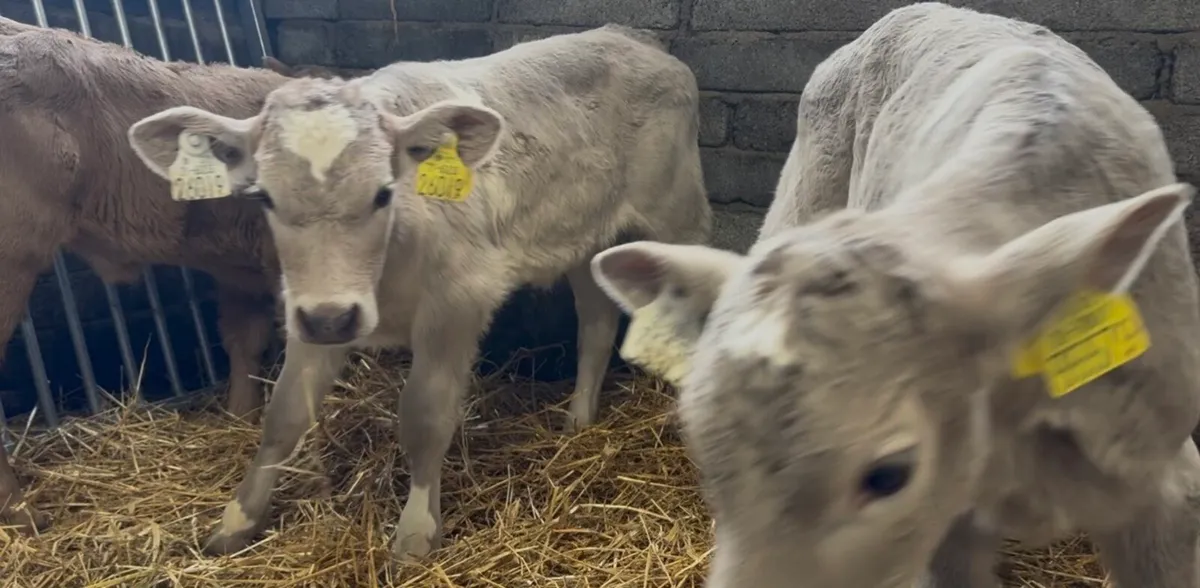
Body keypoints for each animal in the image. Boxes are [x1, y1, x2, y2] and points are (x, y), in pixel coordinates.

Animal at [127, 24, 712, 561]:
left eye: (384, 192)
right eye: (264, 197)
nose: (333, 321)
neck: (390, 260)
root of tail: (631, 35)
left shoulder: (458, 300)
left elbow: (426, 416)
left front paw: (415, 534)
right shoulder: (313, 307)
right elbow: (284, 413)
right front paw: (238, 519)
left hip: (679, 215)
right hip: (582, 238)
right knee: (595, 323)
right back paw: (578, 421)